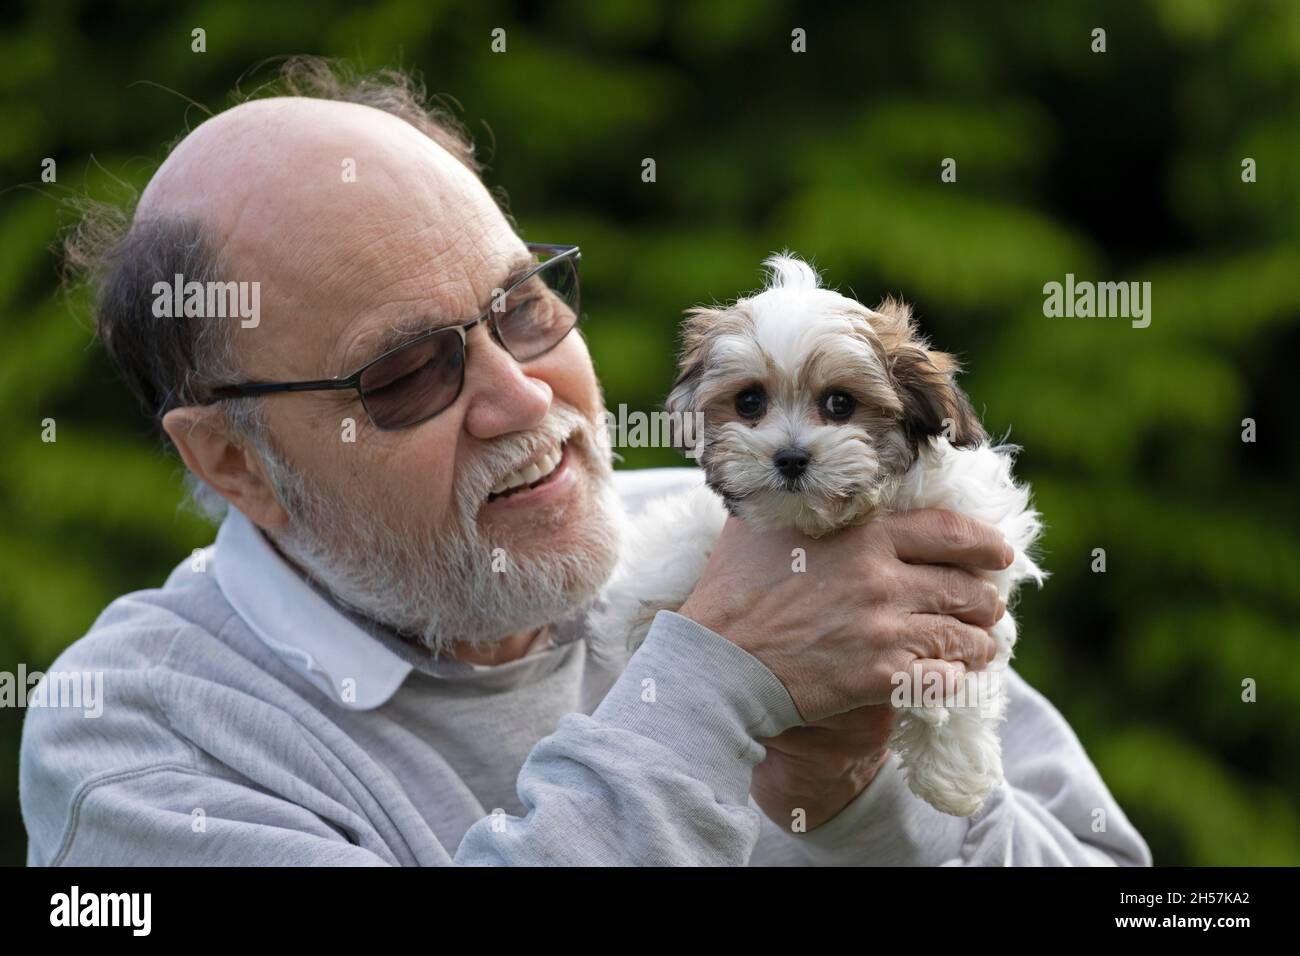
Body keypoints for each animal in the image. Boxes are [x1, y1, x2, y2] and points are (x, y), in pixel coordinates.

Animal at [595, 252, 1050, 816]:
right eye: (749, 402)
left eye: (840, 403)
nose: (790, 457)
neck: (842, 518)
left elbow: (967, 667)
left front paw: (953, 771)